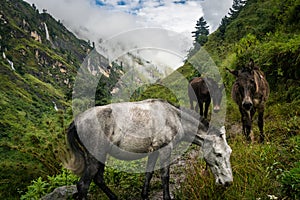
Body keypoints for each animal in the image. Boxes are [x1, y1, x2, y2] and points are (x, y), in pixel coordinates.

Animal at [65, 99, 233, 199]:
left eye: (229, 152)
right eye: (218, 154)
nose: (228, 182)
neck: (174, 117)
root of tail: (77, 121)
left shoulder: (154, 151)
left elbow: (149, 173)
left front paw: (144, 194)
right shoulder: (165, 150)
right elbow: (165, 175)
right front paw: (167, 197)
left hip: (101, 155)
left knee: (98, 179)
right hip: (95, 155)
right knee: (83, 185)